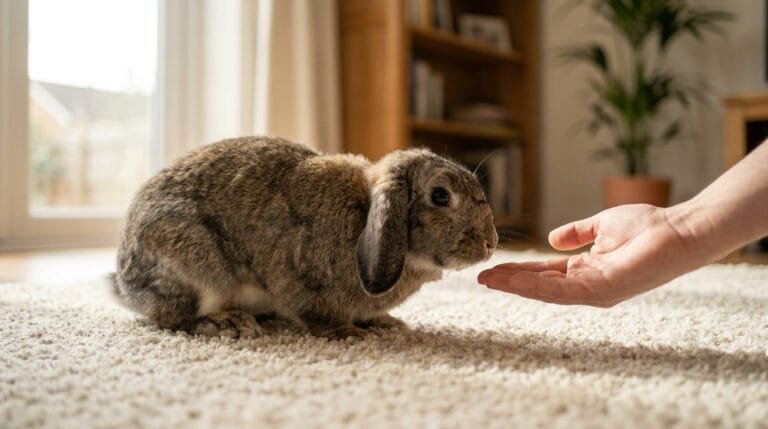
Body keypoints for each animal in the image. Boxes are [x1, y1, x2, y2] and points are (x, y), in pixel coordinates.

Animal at [110, 136, 498, 339]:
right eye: (440, 196)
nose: (491, 243)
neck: (364, 214)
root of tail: (124, 284)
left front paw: (385, 323)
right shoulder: (301, 278)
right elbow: (318, 314)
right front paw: (351, 333)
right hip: (198, 270)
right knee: (172, 318)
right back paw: (228, 323)